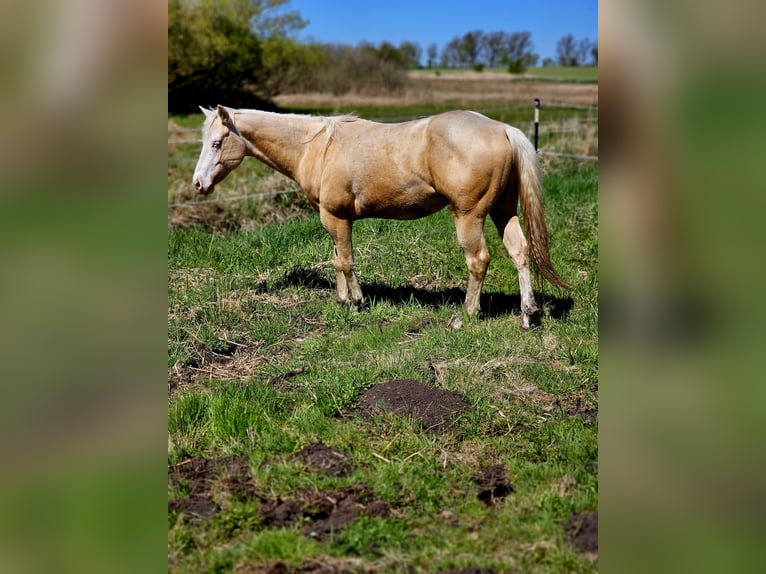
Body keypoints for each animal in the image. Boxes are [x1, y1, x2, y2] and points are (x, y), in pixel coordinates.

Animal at [192, 105, 568, 328]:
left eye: (216, 143)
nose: (198, 184)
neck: (318, 147)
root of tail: (502, 128)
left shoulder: (336, 217)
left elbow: (345, 261)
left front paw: (357, 302)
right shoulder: (334, 220)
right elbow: (337, 259)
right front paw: (343, 300)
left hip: (469, 215)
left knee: (478, 260)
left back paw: (466, 315)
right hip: (503, 210)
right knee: (519, 252)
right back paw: (528, 314)